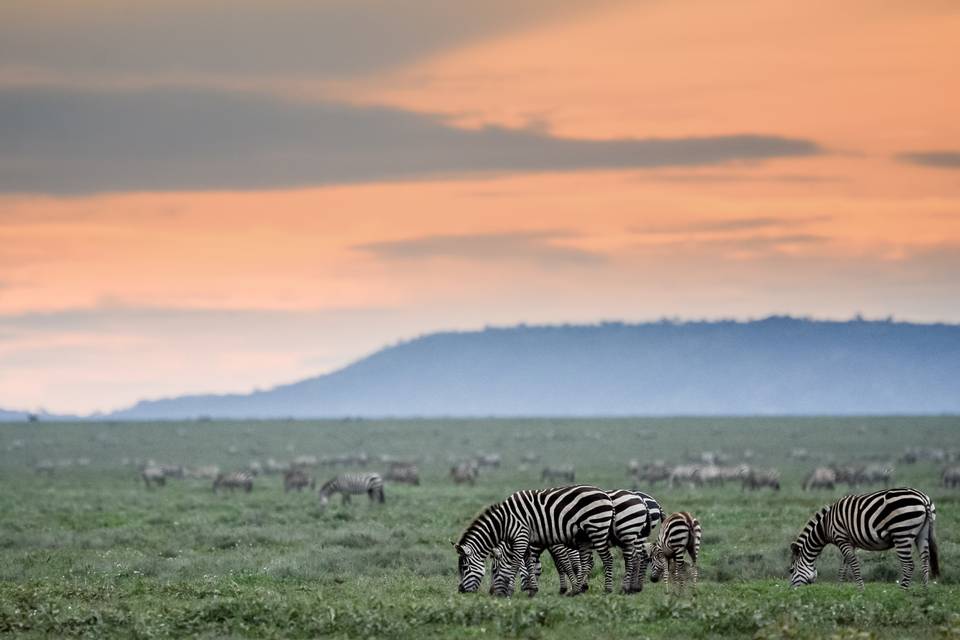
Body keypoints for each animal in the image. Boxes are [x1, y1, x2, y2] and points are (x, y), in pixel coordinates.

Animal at [456, 484, 616, 596]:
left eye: (465, 568)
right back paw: (580, 589)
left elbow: (516, 564)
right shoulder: (526, 540)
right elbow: (530, 563)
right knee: (588, 562)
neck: (504, 522)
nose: (460, 590)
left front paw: (510, 591)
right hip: (584, 537)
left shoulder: (522, 537)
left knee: (607, 559)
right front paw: (533, 589)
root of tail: (605, 495)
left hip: (597, 530)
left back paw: (607, 589)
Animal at [792, 484, 940, 592]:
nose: (791, 590)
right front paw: (839, 588)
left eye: (791, 570)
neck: (826, 525)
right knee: (925, 560)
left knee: (909, 565)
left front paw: (861, 590)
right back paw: (925, 590)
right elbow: (844, 566)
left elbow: (853, 563)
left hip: (901, 533)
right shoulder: (849, 542)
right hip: (922, 533)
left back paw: (901, 591)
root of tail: (923, 498)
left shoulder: (842, 538)